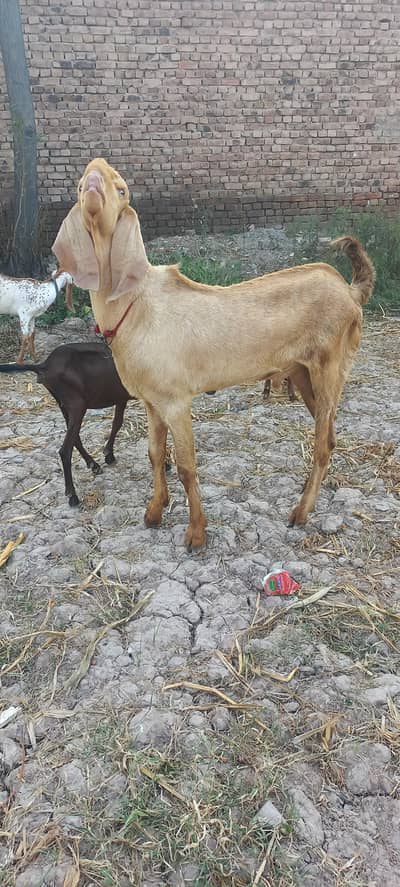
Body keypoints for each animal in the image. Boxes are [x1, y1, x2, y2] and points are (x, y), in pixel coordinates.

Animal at [0, 342, 133, 506]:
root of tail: (45, 365)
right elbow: (118, 423)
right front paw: (109, 454)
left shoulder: (122, 397)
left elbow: (117, 423)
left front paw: (108, 454)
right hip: (77, 405)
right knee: (65, 450)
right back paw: (72, 495)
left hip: (64, 405)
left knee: (75, 438)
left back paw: (93, 465)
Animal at [52, 157, 375, 550]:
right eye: (80, 185)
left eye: (122, 188)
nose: (95, 178)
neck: (137, 305)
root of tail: (349, 291)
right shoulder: (151, 401)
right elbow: (155, 455)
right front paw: (154, 513)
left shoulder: (177, 400)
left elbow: (187, 465)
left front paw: (196, 533)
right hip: (301, 370)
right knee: (327, 435)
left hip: (330, 366)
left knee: (322, 442)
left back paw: (299, 513)